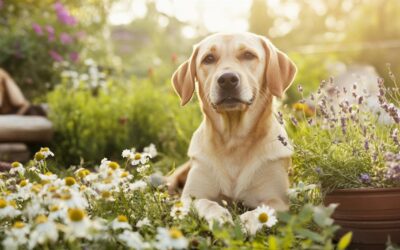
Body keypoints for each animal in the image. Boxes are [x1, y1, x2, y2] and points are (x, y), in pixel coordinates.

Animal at [167, 32, 296, 231]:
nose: (227, 79)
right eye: (209, 58)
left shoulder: (278, 200)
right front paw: (220, 217)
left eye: (248, 55)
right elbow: (207, 203)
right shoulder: (190, 197)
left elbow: (260, 212)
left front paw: (245, 223)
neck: (233, 139)